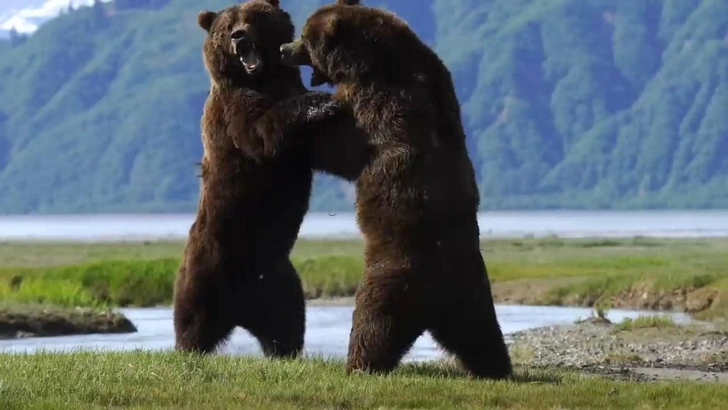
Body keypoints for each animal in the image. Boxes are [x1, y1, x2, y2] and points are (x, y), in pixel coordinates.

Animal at [170, 0, 364, 358]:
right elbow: (263, 133)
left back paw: (284, 350)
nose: (239, 36)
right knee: (192, 321)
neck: (263, 78)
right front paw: (321, 104)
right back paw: (189, 346)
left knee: (288, 323)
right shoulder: (233, 111)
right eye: (227, 26)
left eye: (251, 17)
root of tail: (239, 312)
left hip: (278, 282)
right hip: (204, 271)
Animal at [264, 0, 512, 378]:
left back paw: (357, 365)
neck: (368, 62)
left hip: (393, 275)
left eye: (305, 36)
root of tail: (436, 300)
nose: (282, 48)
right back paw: (497, 368)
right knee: (481, 334)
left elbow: (336, 146)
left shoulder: (376, 106)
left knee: (373, 324)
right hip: (473, 293)